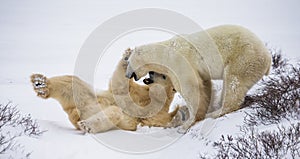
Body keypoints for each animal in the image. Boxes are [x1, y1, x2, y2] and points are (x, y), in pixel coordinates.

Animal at [31, 48, 180, 133]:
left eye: (164, 76)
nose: (151, 72)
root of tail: (77, 113)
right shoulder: (139, 92)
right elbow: (120, 88)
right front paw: (127, 55)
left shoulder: (158, 113)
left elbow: (143, 119)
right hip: (87, 96)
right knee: (72, 82)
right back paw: (40, 83)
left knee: (113, 112)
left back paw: (86, 125)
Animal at [124, 24, 272, 132]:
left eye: (128, 62)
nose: (127, 75)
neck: (164, 53)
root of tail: (268, 58)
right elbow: (204, 85)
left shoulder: (180, 62)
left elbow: (190, 89)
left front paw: (186, 124)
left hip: (243, 59)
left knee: (233, 83)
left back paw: (216, 112)